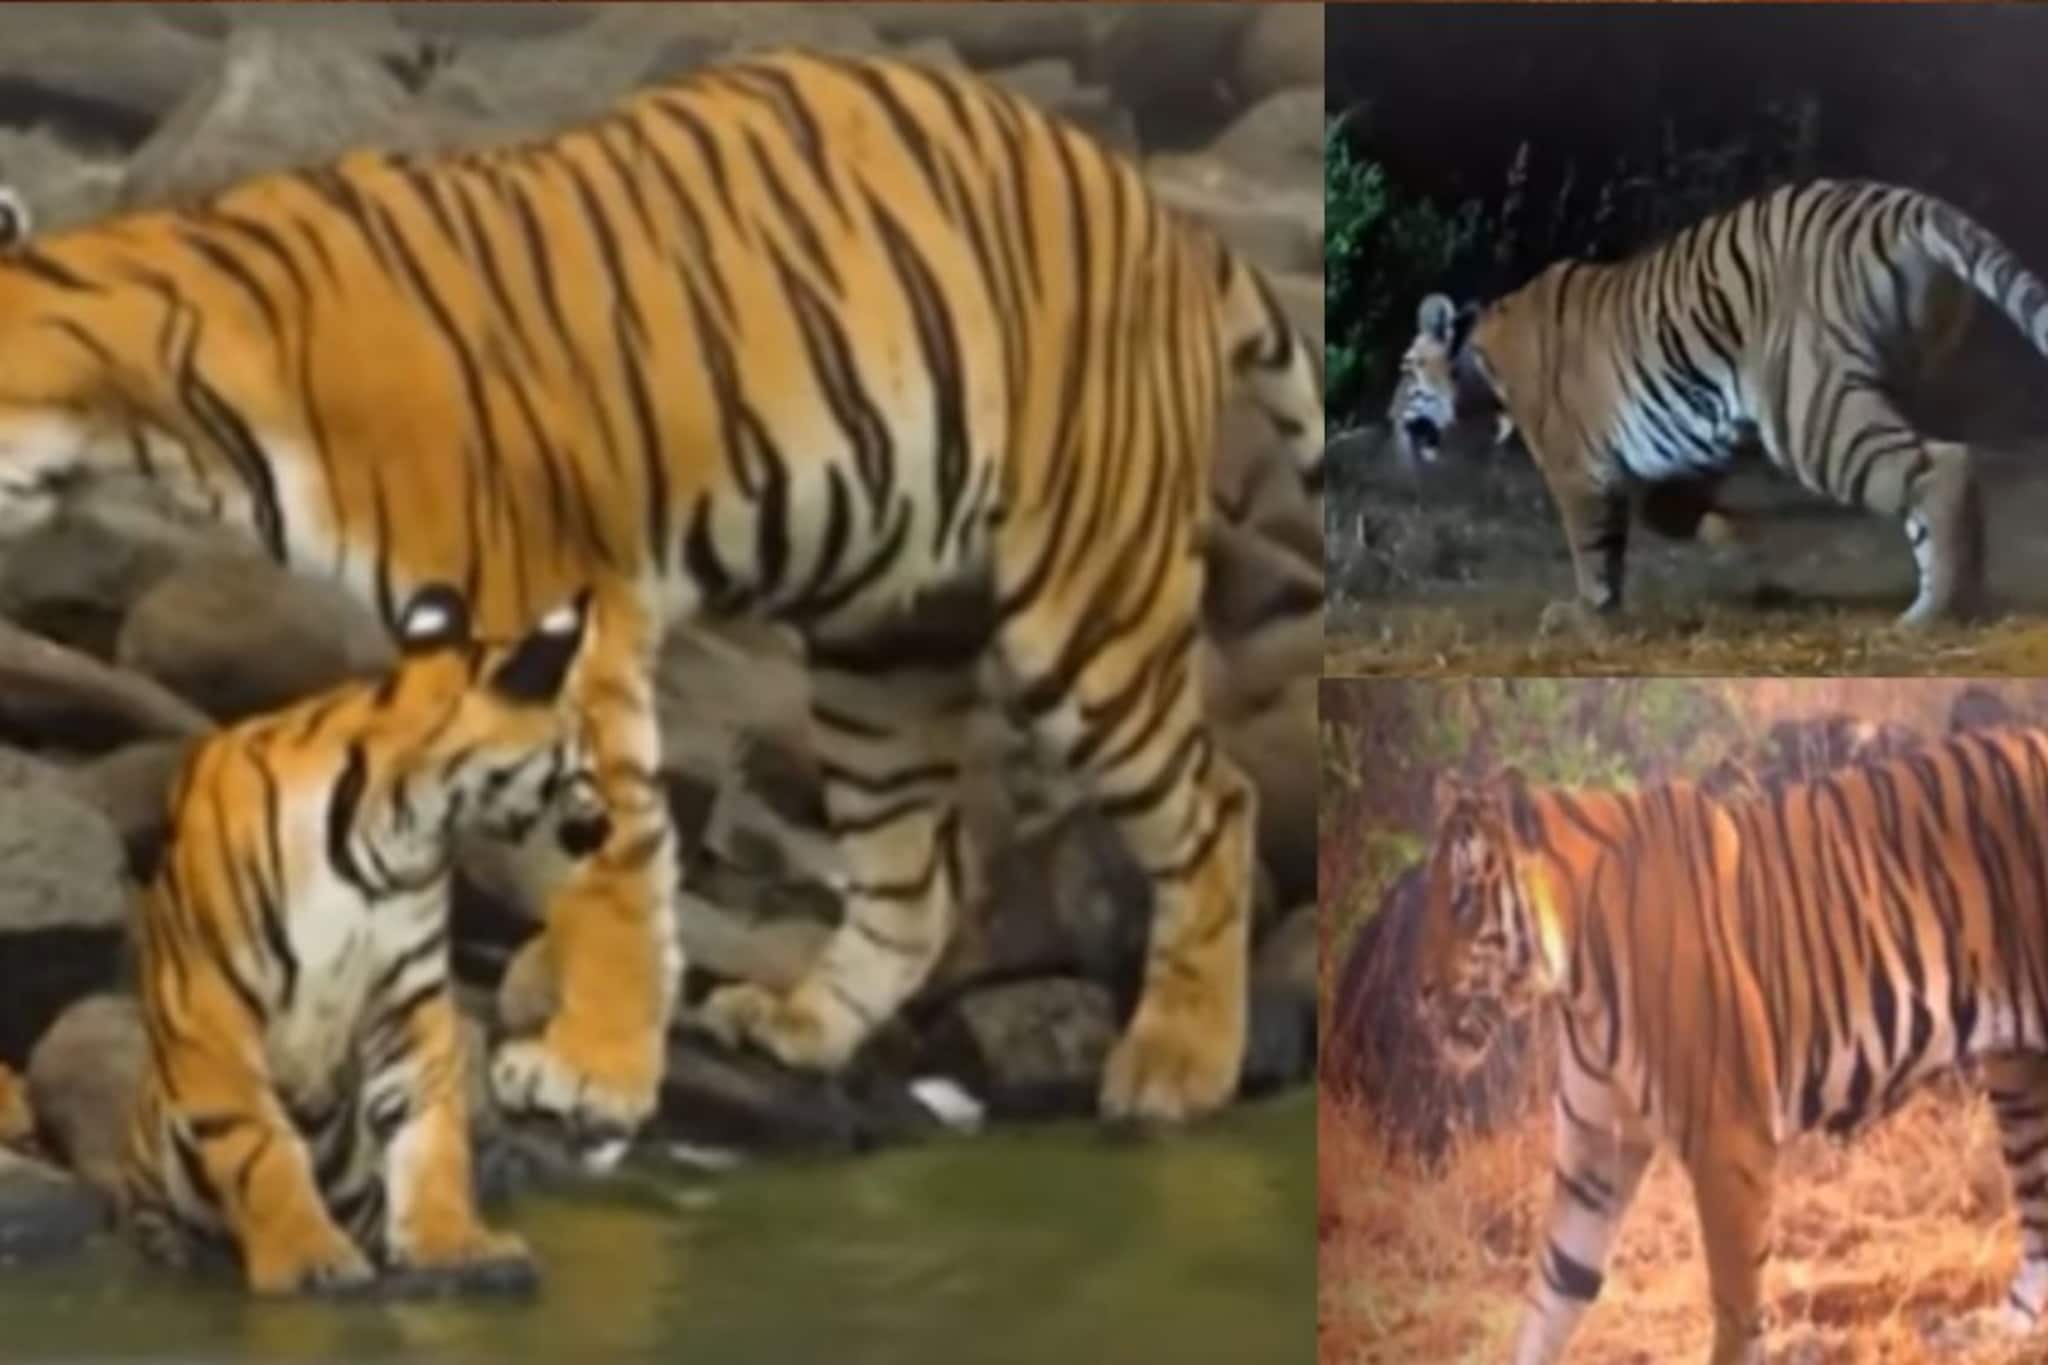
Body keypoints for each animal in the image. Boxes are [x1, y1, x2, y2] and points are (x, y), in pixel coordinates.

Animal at [0, 49, 1324, 1140]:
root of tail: (1168, 221)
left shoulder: (562, 617)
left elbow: (614, 852)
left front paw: (588, 1070)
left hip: (1087, 609)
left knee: (1216, 806)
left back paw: (1175, 1067)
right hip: (884, 644)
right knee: (912, 871)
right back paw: (804, 1027)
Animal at [124, 582, 609, 1297]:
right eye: (584, 754)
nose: (605, 829)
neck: (395, 829)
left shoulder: (407, 1001)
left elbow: (429, 1131)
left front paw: (453, 1243)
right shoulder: (212, 1002)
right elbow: (257, 1142)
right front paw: (306, 1256)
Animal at [1389, 179, 2048, 627]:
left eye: (1404, 372)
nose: (1390, 418)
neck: (1485, 362)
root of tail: (1906, 207)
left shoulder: (1579, 470)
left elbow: (1592, 547)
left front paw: (1586, 613)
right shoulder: (1691, 440)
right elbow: (1664, 513)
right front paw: (1735, 534)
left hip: (1811, 409)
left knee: (1944, 465)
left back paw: (1935, 613)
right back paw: (1965, 593)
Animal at [1418, 735, 2048, 1364]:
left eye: (1465, 899)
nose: (1419, 990)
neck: (1574, 979)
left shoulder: (1729, 1137)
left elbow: (1734, 1304)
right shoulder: (1595, 1154)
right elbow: (1555, 1292)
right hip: (2021, 1077)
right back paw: (1994, 1331)